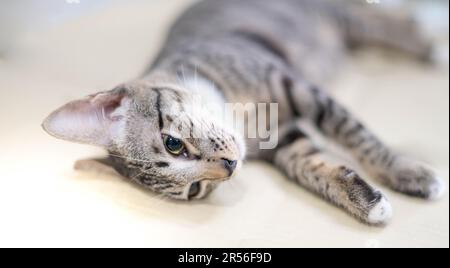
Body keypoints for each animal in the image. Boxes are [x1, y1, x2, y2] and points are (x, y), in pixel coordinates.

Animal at [41, 0, 442, 225]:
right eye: (194, 191)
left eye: (173, 144)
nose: (230, 166)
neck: (244, 118)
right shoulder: (286, 141)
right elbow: (318, 170)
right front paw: (367, 203)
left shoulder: (299, 89)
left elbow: (361, 138)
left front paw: (407, 172)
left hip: (330, 17)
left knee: (377, 21)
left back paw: (430, 44)